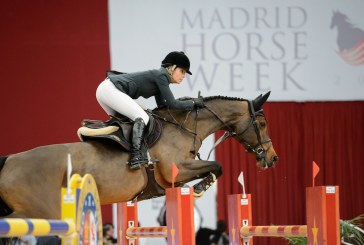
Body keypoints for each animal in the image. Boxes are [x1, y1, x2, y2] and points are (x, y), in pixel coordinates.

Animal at [0, 91, 278, 219]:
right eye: (262, 124)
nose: (273, 158)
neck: (184, 126)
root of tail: (9, 161)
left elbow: (213, 166)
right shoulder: (176, 169)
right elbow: (217, 165)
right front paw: (199, 188)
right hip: (40, 212)